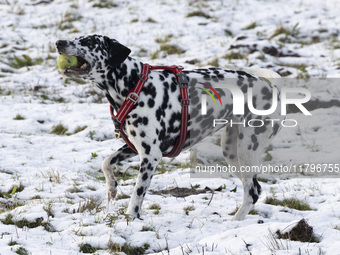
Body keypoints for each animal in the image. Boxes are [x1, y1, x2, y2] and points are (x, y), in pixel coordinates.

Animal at [55, 34, 282, 221]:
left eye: (89, 41)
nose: (59, 42)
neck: (134, 85)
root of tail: (270, 87)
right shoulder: (134, 147)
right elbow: (106, 162)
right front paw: (111, 187)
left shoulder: (151, 156)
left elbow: (137, 194)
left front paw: (130, 218)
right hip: (232, 152)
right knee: (252, 189)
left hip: (246, 149)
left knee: (252, 191)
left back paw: (234, 223)